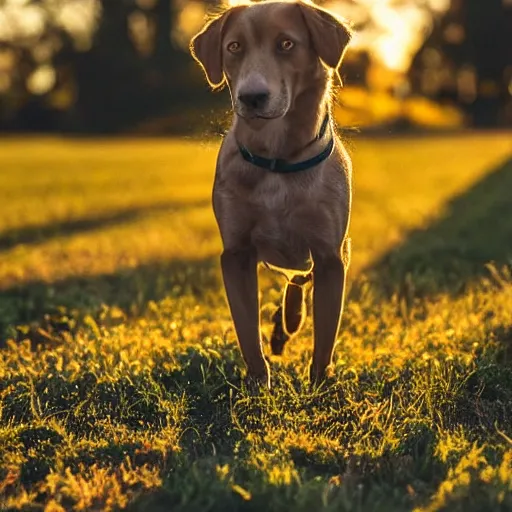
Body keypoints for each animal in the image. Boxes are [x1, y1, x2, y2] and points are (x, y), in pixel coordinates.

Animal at [190, 0, 354, 390]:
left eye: (286, 44)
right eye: (234, 47)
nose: (252, 96)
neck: (278, 162)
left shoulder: (330, 255)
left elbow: (325, 334)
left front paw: (319, 386)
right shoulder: (236, 254)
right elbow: (247, 331)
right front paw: (257, 385)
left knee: (301, 280)